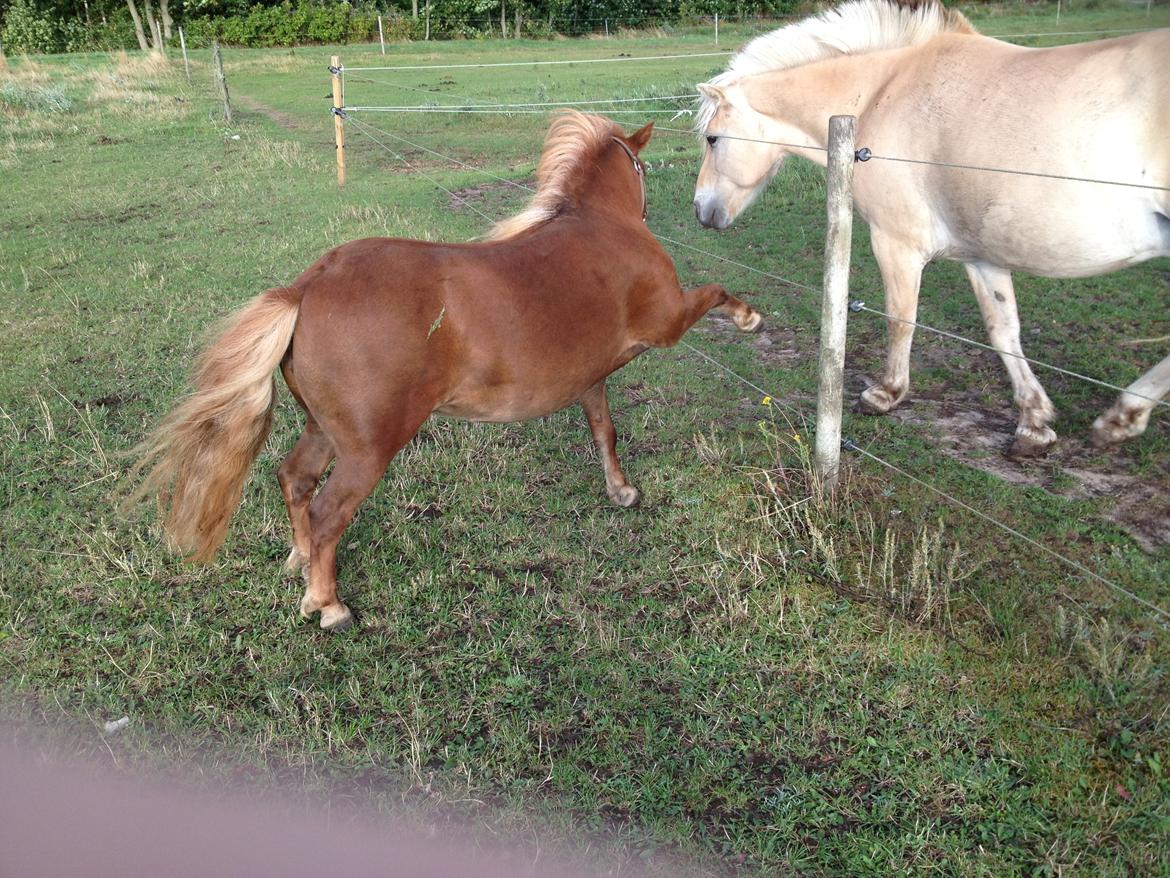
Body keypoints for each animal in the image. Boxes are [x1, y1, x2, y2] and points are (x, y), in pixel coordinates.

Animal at [132, 113, 762, 632]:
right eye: (641, 165)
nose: (693, 212)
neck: (601, 230)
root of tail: (306, 287)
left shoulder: (591, 380)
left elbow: (604, 431)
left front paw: (622, 490)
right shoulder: (667, 322)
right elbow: (713, 292)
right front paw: (749, 316)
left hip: (323, 427)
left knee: (294, 481)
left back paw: (300, 560)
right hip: (368, 447)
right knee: (328, 511)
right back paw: (327, 603)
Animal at [692, 0, 1170, 454]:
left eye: (713, 138)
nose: (700, 209)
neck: (882, 95)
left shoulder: (896, 243)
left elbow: (901, 318)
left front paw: (885, 394)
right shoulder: (981, 255)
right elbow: (1003, 331)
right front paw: (1034, 423)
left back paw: (1122, 417)